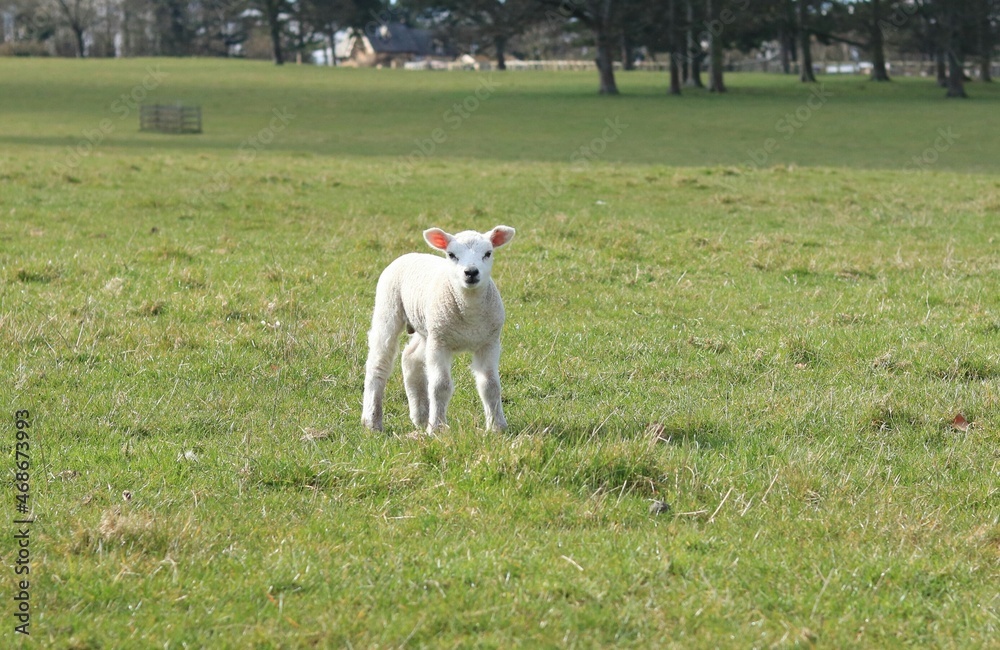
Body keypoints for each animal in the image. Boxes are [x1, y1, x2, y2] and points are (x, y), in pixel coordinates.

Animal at [362, 225, 516, 433]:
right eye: (451, 255)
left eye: (488, 253)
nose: (471, 272)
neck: (469, 315)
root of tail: (411, 254)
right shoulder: (440, 343)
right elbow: (440, 386)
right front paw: (437, 428)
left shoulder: (489, 342)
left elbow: (490, 384)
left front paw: (497, 427)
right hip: (389, 308)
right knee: (378, 363)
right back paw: (372, 421)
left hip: (427, 328)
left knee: (410, 357)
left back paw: (420, 415)